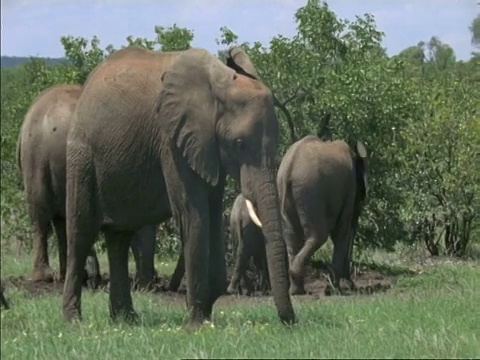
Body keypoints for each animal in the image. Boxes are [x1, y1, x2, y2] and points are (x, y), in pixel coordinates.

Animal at [17, 84, 158, 290]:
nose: (151, 283)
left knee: (54, 217)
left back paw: (65, 276)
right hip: (38, 158)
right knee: (44, 215)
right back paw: (49, 278)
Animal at [63, 45, 296, 326]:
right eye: (238, 143)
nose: (291, 321)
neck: (219, 84)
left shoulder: (207, 146)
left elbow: (213, 213)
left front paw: (206, 313)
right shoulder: (172, 140)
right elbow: (192, 213)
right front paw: (196, 324)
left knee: (119, 238)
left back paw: (127, 321)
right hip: (81, 156)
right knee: (80, 233)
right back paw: (73, 321)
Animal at [276, 135, 370, 296]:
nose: (352, 286)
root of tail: (289, 168)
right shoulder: (350, 189)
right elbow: (342, 232)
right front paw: (335, 290)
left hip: (288, 194)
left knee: (291, 238)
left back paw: (296, 290)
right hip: (311, 193)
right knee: (318, 236)